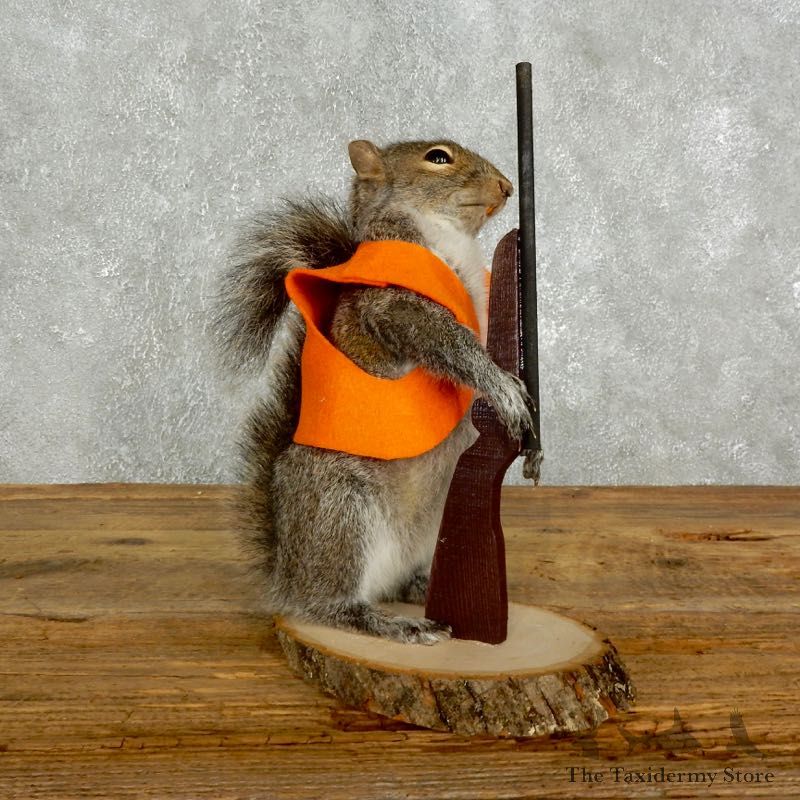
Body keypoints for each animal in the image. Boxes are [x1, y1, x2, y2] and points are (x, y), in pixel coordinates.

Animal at [215, 138, 533, 645]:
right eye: (438, 157)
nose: (506, 187)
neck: (450, 239)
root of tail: (286, 574)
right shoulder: (389, 306)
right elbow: (450, 343)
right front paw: (502, 387)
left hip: (429, 523)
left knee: (399, 581)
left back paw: (426, 593)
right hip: (340, 509)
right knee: (327, 603)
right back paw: (389, 623)